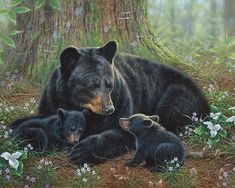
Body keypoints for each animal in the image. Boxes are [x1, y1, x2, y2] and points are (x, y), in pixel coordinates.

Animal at [12, 40, 209, 164]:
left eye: (109, 84)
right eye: (92, 84)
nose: (109, 108)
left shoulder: (122, 101)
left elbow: (120, 132)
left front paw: (82, 151)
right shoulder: (52, 100)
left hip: (178, 95)